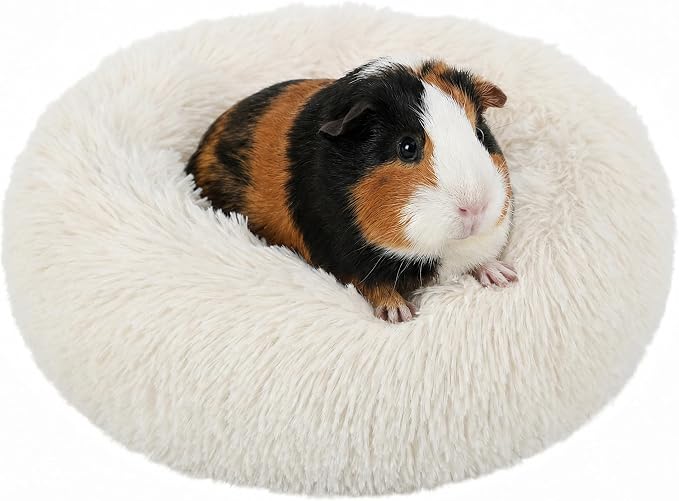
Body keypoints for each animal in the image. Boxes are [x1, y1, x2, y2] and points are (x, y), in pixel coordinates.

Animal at [186, 57, 516, 323]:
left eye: (480, 134)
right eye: (407, 147)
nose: (475, 208)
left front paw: (503, 276)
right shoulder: (349, 261)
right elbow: (373, 285)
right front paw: (399, 314)